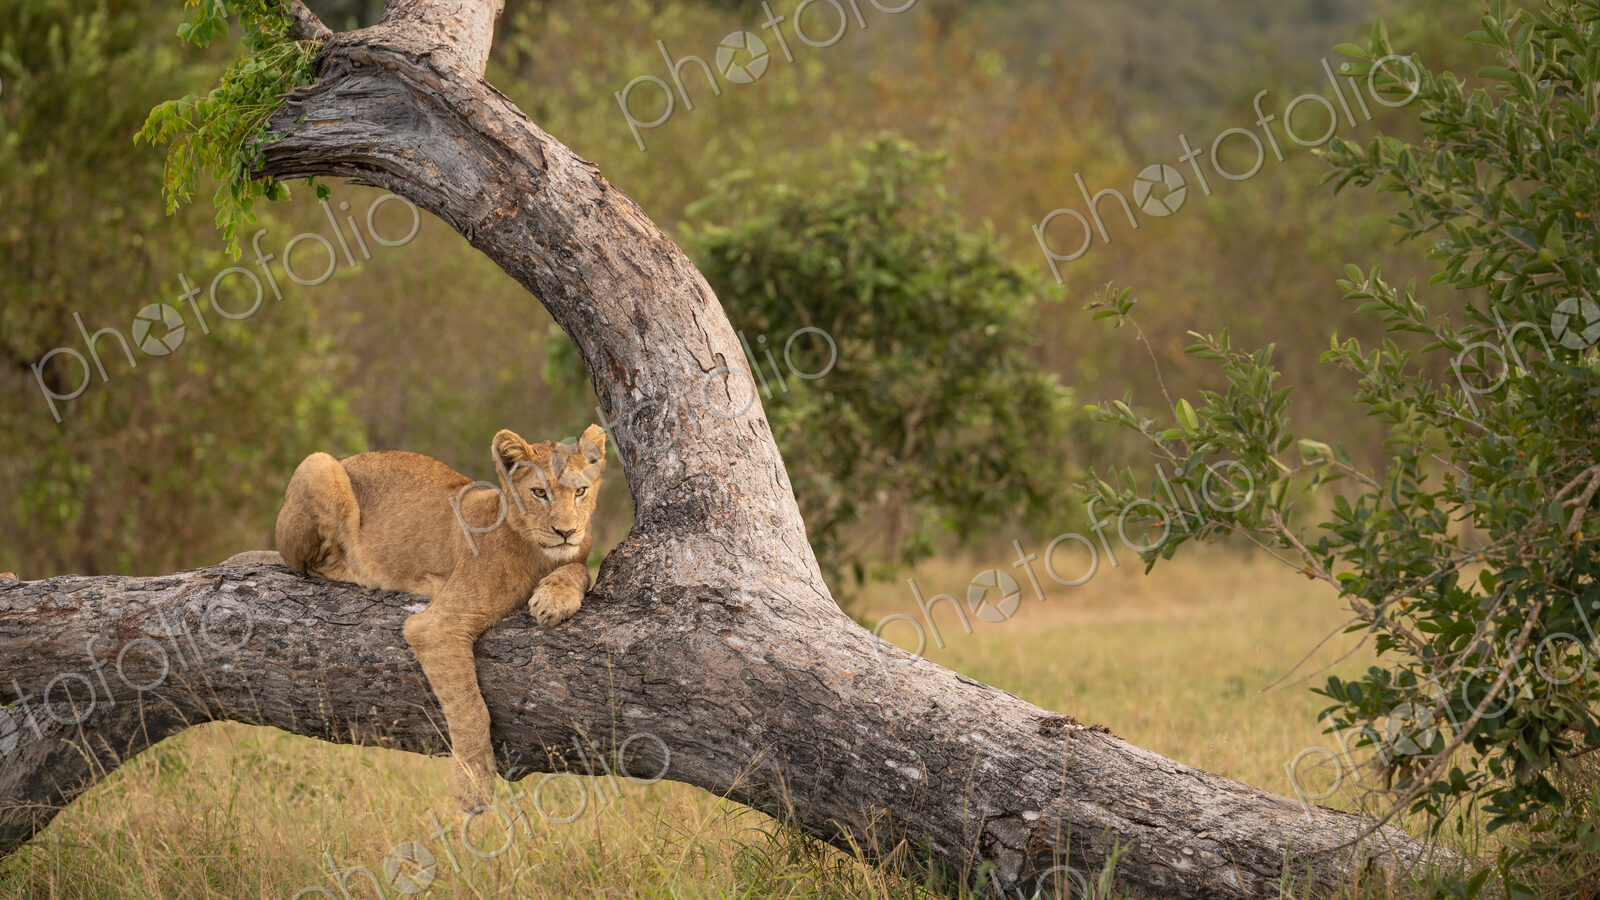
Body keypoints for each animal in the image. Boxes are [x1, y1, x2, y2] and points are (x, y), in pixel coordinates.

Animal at [229, 425, 608, 810]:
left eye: (580, 492)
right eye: (539, 493)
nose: (566, 531)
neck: (540, 555)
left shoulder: (579, 553)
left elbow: (582, 570)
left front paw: (554, 598)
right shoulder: (436, 625)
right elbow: (471, 709)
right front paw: (472, 785)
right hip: (318, 464)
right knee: (311, 562)